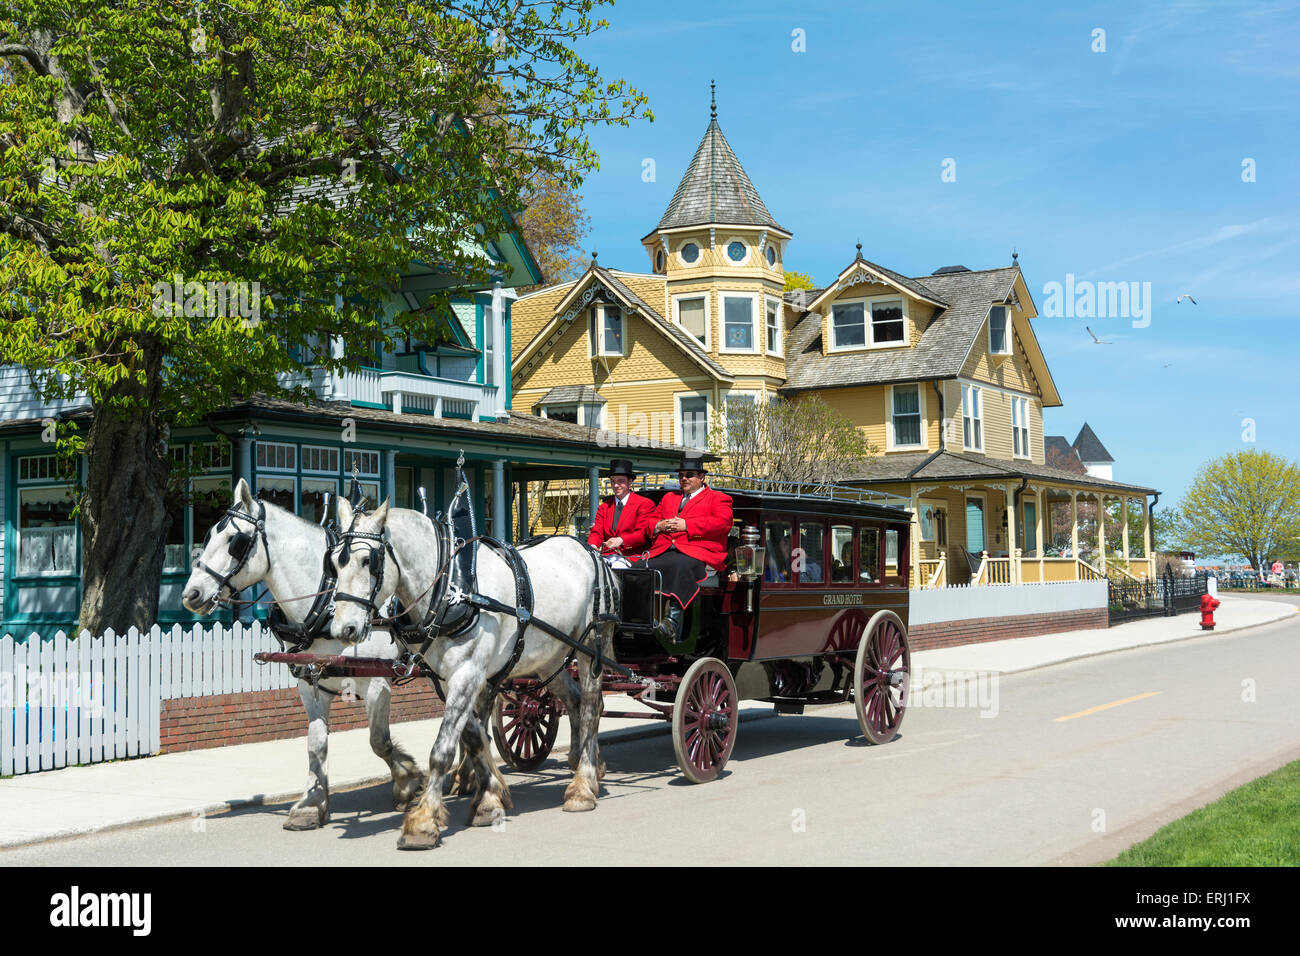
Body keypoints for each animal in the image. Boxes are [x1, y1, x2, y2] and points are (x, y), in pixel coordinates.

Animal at [180, 478, 423, 832]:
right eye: (208, 534)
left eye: (234, 541)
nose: (191, 594)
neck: (326, 605)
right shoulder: (311, 681)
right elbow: (316, 742)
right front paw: (311, 803)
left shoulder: (377, 683)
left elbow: (379, 740)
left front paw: (408, 781)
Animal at [330, 496, 613, 848]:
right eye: (333, 563)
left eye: (368, 560)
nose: (343, 628)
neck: (452, 588)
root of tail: (588, 550)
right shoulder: (446, 679)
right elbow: (475, 737)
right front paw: (489, 798)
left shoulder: (468, 673)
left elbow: (442, 749)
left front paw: (422, 822)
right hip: (549, 656)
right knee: (574, 701)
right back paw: (582, 763)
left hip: (591, 646)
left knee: (590, 707)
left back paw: (583, 785)